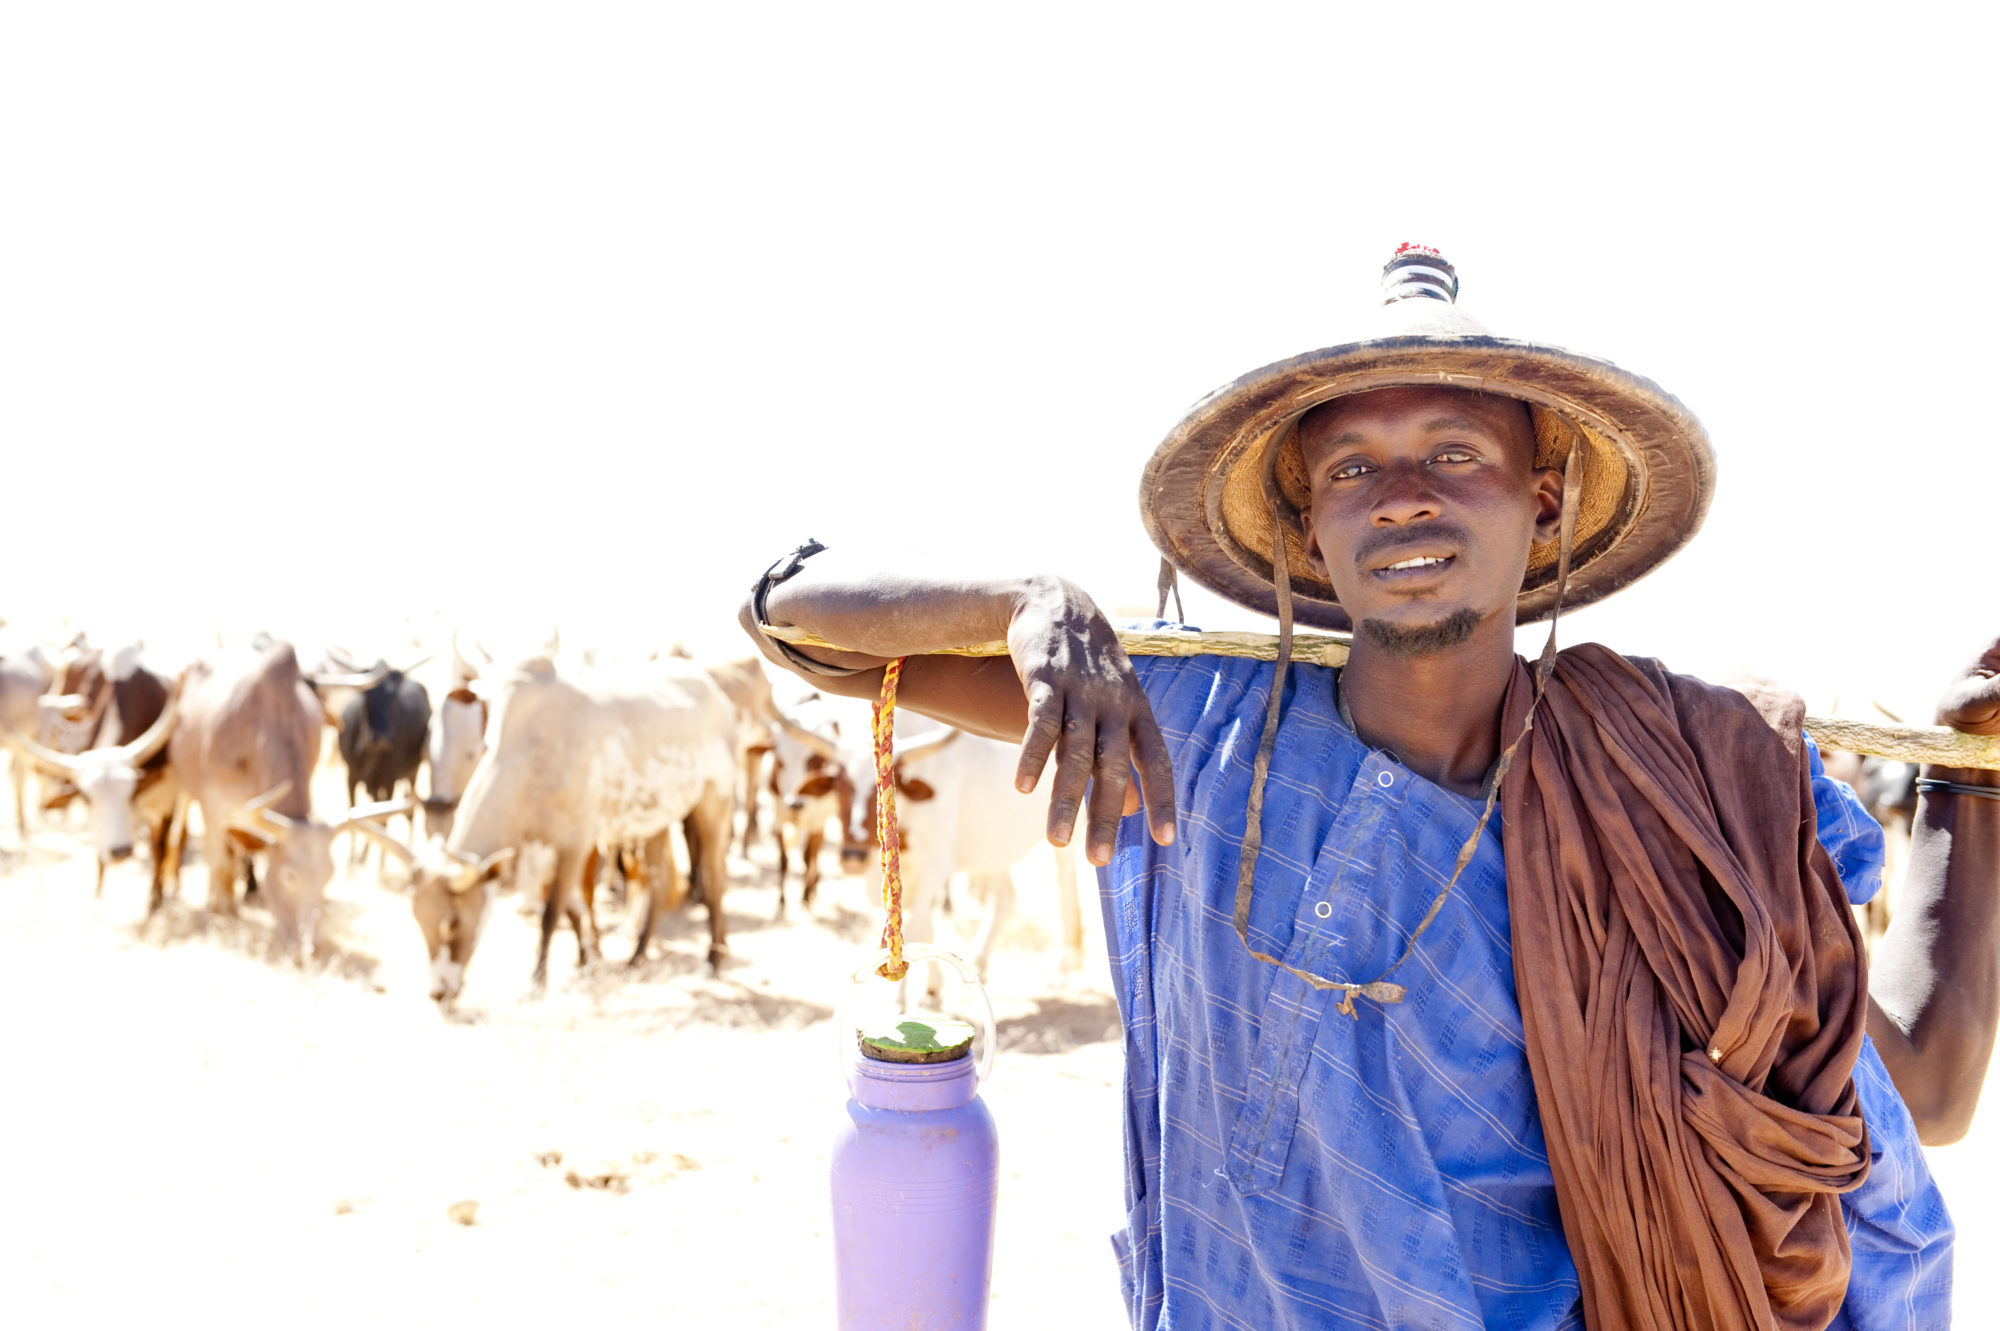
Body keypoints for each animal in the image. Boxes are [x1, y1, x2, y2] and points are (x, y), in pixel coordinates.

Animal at [167, 639, 382, 955]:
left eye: (328, 875)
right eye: (289, 876)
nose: (308, 946)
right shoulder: (214, 807)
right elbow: (219, 860)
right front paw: (218, 910)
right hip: (183, 786)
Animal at [426, 651, 740, 995]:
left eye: (453, 922)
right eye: (420, 922)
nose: (439, 992)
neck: (526, 757)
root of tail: (717, 695)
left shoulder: (575, 844)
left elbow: (552, 912)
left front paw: (538, 979)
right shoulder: (542, 844)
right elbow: (572, 907)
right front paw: (587, 960)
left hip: (714, 803)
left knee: (714, 877)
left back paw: (712, 959)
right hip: (654, 820)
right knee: (658, 880)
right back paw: (639, 954)